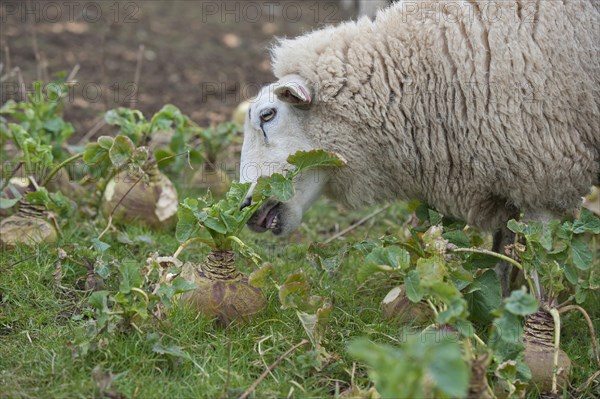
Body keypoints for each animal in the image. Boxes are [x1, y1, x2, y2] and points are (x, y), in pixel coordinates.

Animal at [240, 0, 600, 294]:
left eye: (267, 115)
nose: (244, 207)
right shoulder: (507, 178)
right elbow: (502, 257)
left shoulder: (545, 176)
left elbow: (540, 267)